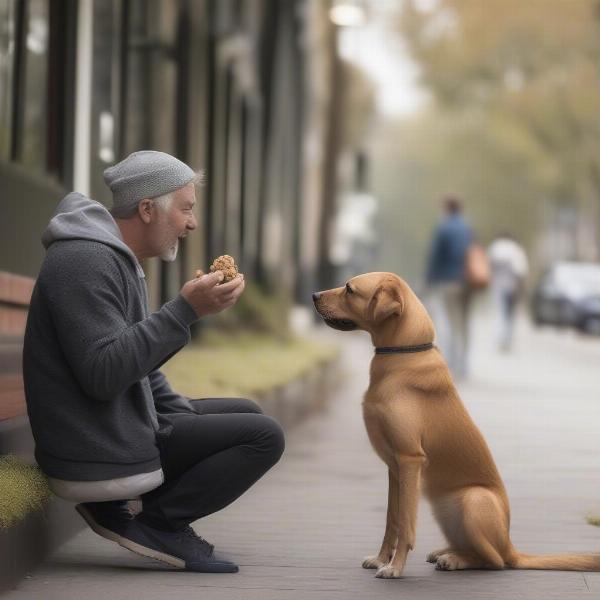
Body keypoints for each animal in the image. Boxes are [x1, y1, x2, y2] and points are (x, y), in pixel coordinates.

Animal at [314, 274, 600, 580]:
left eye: (349, 289)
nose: (313, 295)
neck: (402, 355)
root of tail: (511, 546)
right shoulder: (394, 468)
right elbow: (391, 521)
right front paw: (381, 559)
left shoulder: (410, 460)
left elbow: (405, 524)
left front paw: (395, 567)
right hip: (444, 508)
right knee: (476, 550)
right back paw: (446, 552)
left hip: (474, 500)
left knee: (494, 561)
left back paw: (455, 560)